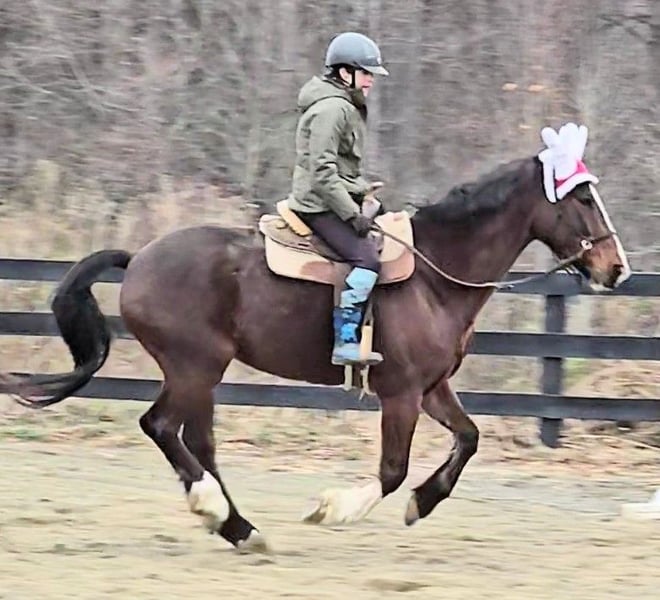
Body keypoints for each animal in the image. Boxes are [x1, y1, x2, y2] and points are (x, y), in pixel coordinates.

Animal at [1, 132, 631, 553]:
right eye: (582, 200)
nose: (616, 268)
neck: (435, 273)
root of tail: (139, 259)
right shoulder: (401, 394)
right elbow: (392, 469)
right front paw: (335, 510)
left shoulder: (432, 388)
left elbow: (468, 439)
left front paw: (421, 504)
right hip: (194, 366)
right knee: (160, 427)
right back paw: (220, 513)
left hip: (202, 372)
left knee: (197, 443)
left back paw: (238, 526)